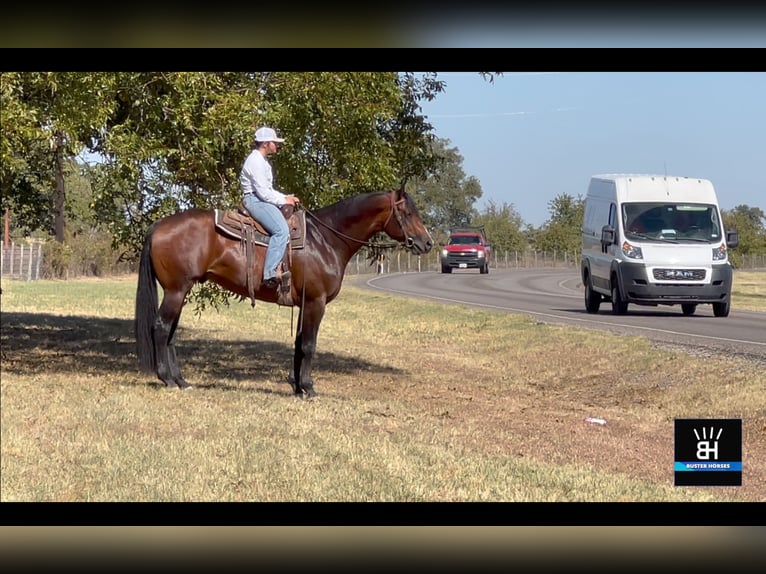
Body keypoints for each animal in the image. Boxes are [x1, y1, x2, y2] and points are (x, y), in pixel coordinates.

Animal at [132, 187, 432, 398]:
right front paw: (308, 387)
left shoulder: (304, 303)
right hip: (176, 290)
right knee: (161, 328)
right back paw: (167, 379)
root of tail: (158, 226)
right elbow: (309, 345)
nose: (427, 243)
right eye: (407, 214)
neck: (324, 239)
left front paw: (296, 385)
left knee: (171, 333)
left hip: (181, 291)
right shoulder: (316, 302)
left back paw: (181, 380)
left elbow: (299, 343)